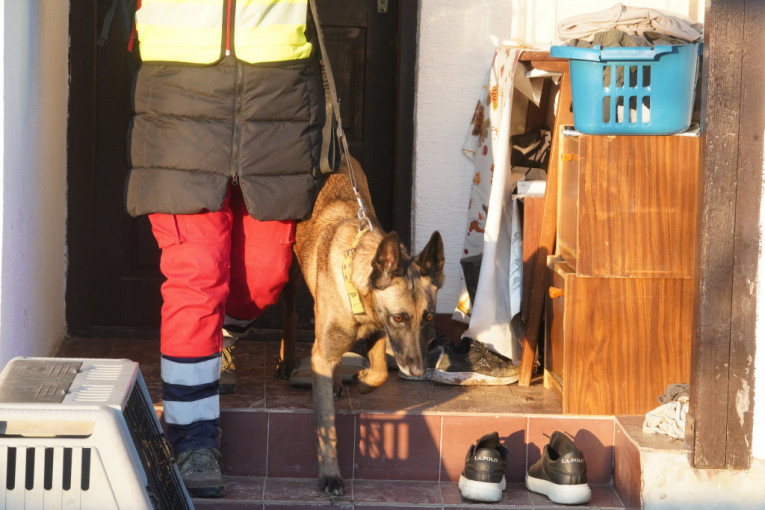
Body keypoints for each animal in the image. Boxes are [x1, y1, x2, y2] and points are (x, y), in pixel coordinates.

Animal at [278, 156, 445, 496]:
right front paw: (330, 475)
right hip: (288, 273)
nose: (419, 372)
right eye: (399, 317)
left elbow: (380, 373)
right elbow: (326, 424)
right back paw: (287, 361)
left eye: (429, 318)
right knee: (289, 316)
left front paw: (364, 380)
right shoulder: (323, 355)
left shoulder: (378, 335)